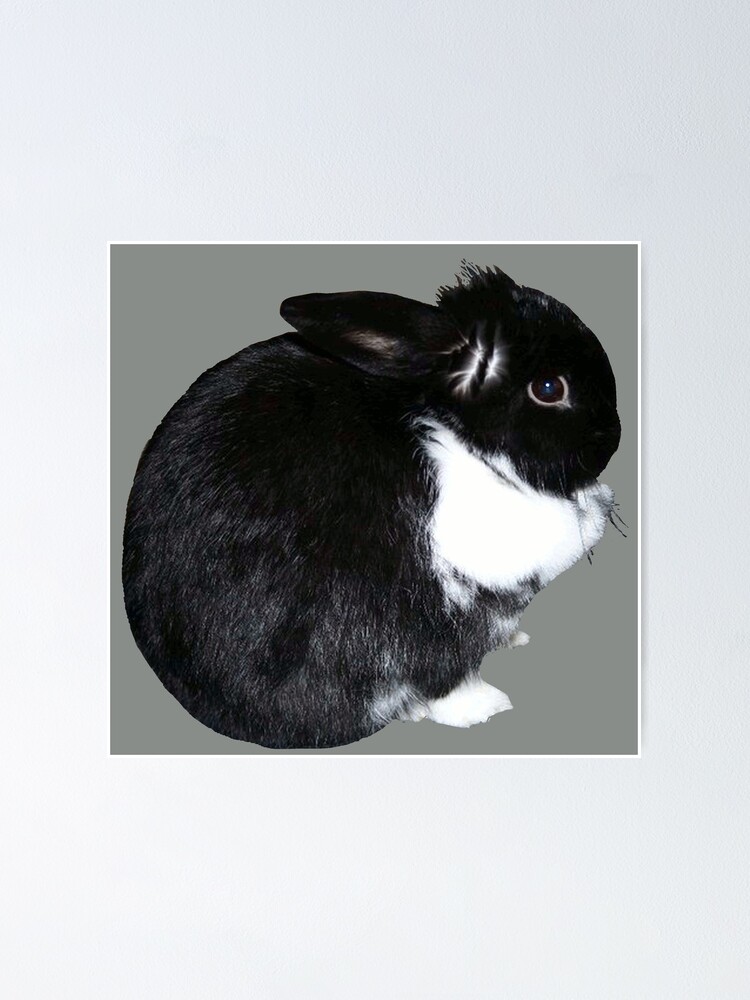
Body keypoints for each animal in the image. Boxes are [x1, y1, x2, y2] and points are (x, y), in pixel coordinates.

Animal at [122, 261, 621, 749]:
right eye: (549, 388)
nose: (612, 436)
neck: (459, 437)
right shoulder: (438, 609)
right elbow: (446, 676)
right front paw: (486, 708)